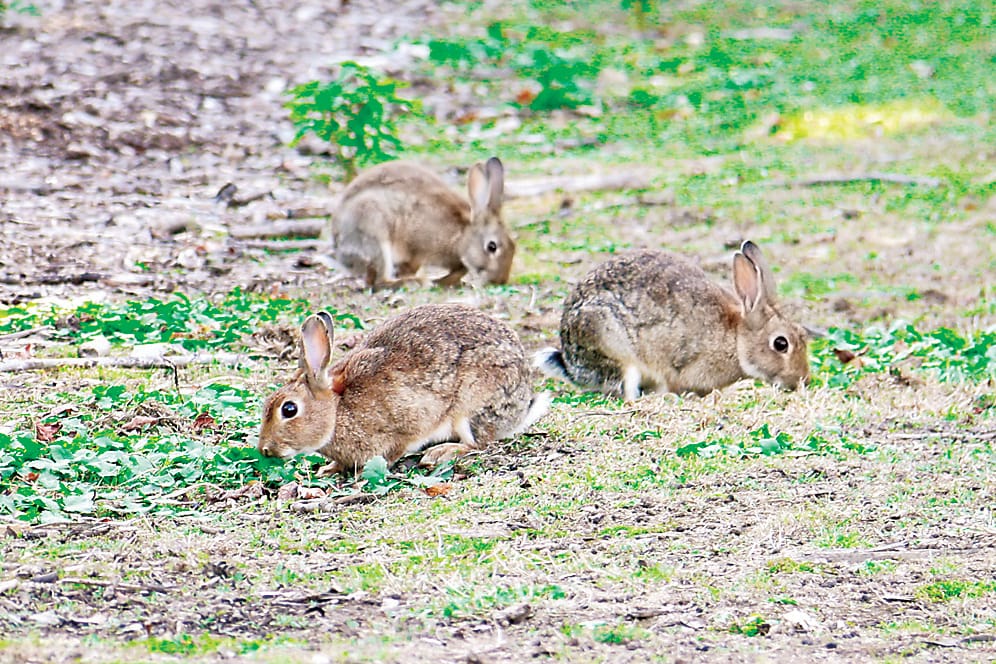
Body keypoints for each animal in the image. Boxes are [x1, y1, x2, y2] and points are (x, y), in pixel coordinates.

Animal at [258, 303, 549, 475]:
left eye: (289, 409)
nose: (265, 450)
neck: (337, 410)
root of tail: (521, 405)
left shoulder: (403, 426)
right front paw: (329, 469)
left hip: (471, 406)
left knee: (478, 443)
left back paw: (438, 453)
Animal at [332, 157, 514, 288]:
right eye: (492, 247)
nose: (500, 281)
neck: (462, 235)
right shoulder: (417, 248)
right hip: (374, 232)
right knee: (378, 281)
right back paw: (418, 282)